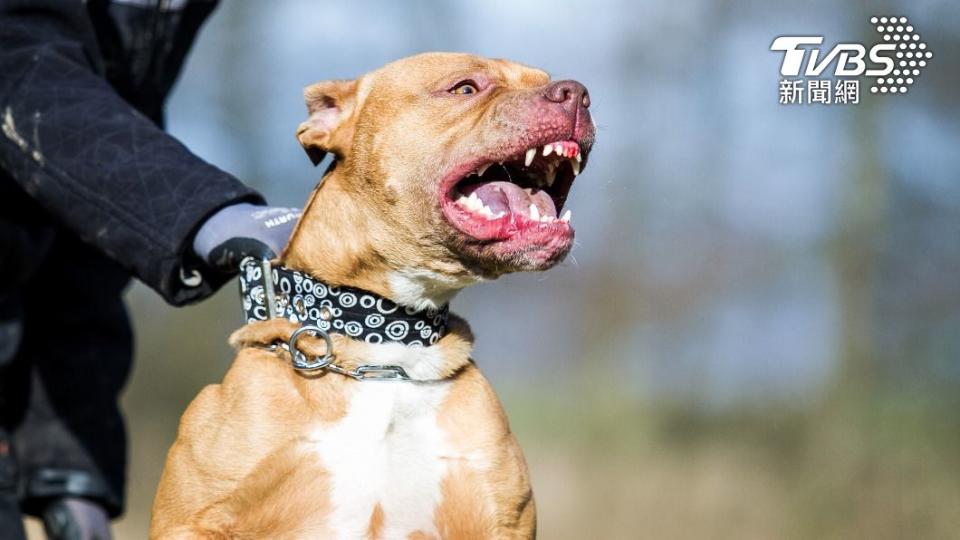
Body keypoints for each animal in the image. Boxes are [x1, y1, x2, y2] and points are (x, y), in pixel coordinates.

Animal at [149, 51, 592, 540]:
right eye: (465, 88)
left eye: (546, 79)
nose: (576, 93)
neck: (387, 348)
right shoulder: (195, 520)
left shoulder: (500, 519)